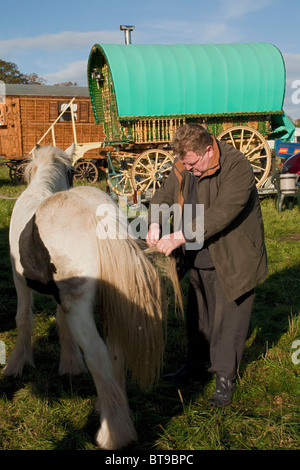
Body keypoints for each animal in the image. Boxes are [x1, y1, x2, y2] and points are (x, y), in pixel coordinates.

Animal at [4, 145, 182, 450]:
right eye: (72, 170)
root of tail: (100, 218)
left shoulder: (21, 283)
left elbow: (23, 320)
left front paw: (16, 365)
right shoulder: (61, 295)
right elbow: (61, 323)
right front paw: (70, 364)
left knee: (98, 354)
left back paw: (114, 433)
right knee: (115, 350)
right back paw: (110, 406)